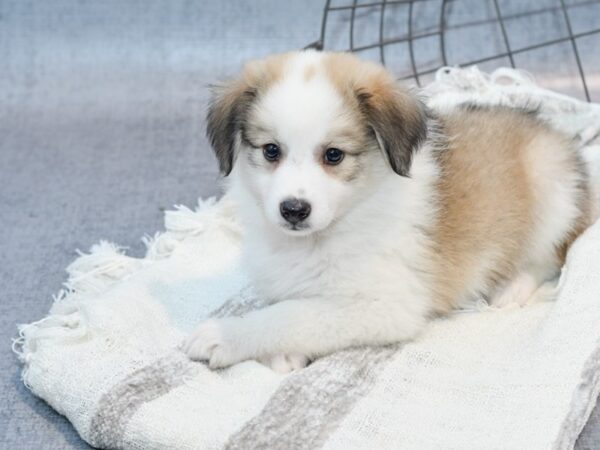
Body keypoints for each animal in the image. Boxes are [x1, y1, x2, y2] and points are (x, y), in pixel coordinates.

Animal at [183, 50, 596, 372]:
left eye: (333, 155)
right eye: (271, 150)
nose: (294, 210)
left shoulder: (385, 305)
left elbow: (294, 315)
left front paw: (225, 335)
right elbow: (288, 304)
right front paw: (284, 354)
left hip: (552, 188)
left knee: (547, 258)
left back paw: (511, 288)